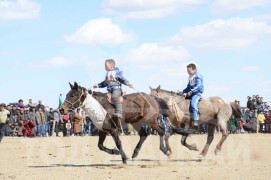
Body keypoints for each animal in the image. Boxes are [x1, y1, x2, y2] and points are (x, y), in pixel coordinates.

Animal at [61, 82, 189, 164]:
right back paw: (135, 154)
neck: (99, 106)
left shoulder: (113, 130)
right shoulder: (102, 130)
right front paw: (116, 152)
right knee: (144, 135)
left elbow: (118, 143)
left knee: (162, 132)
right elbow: (100, 146)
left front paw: (123, 157)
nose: (61, 109)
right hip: (137, 122)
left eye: (73, 95)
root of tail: (152, 98)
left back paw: (166, 150)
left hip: (152, 121)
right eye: (67, 94)